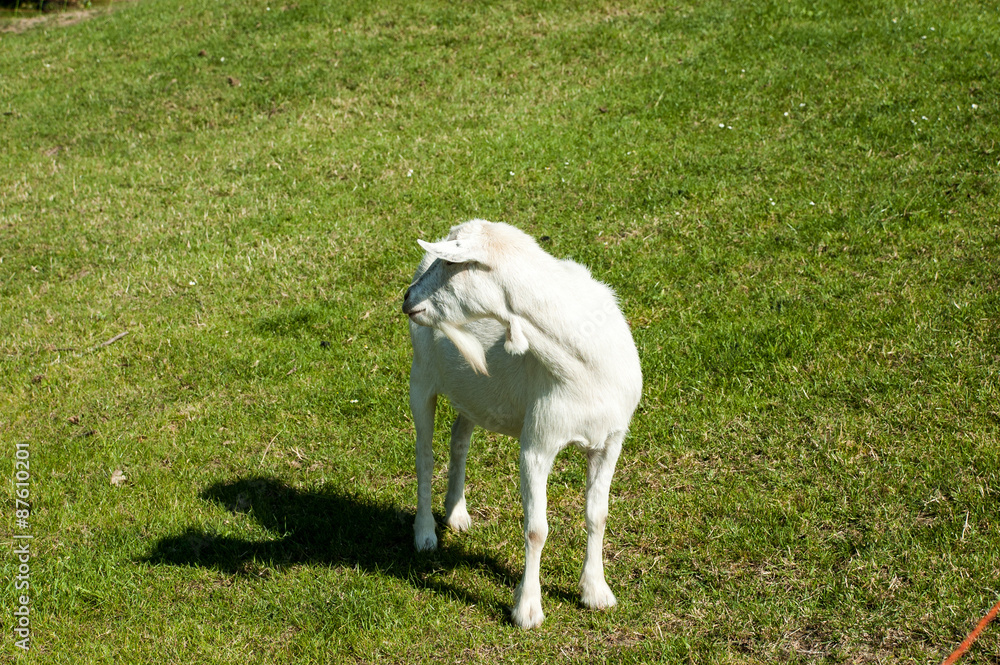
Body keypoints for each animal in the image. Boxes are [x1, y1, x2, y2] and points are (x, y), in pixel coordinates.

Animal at [402, 219, 642, 628]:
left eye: (449, 264)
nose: (407, 298)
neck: (581, 363)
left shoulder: (611, 440)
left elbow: (598, 515)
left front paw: (596, 591)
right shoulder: (538, 442)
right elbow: (536, 529)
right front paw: (527, 608)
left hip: (474, 391)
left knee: (459, 437)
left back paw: (457, 513)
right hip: (421, 377)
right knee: (424, 455)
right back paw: (425, 534)